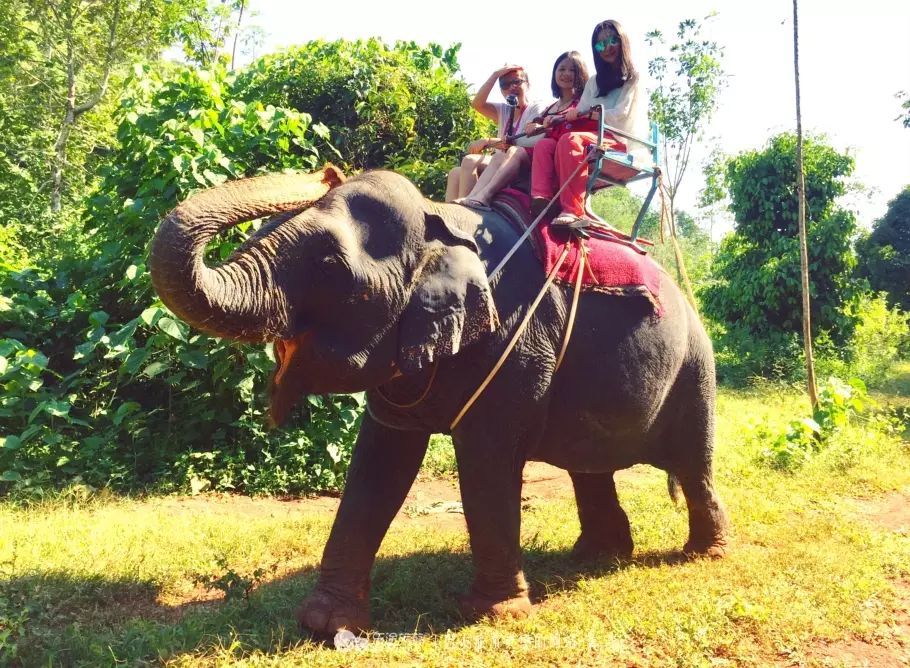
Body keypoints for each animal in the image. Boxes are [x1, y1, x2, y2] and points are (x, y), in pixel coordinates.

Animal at [151, 164, 732, 636]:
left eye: (330, 265)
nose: (325, 172)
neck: (441, 221)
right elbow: (380, 463)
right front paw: (324, 623)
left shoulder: (517, 341)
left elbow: (486, 461)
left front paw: (496, 614)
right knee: (590, 467)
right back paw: (594, 558)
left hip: (695, 369)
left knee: (692, 462)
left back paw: (703, 555)